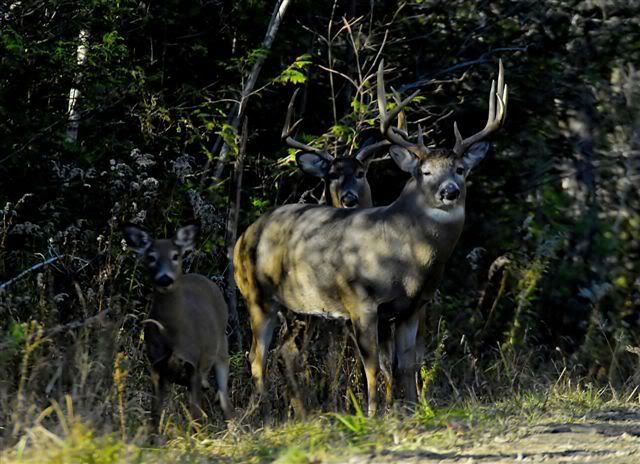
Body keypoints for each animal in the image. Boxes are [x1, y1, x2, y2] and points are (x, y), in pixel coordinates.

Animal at [122, 225, 232, 428]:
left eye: (175, 256)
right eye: (151, 257)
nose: (165, 279)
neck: (172, 336)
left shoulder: (194, 364)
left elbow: (195, 414)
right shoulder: (156, 365)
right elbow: (155, 415)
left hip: (221, 349)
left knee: (224, 400)